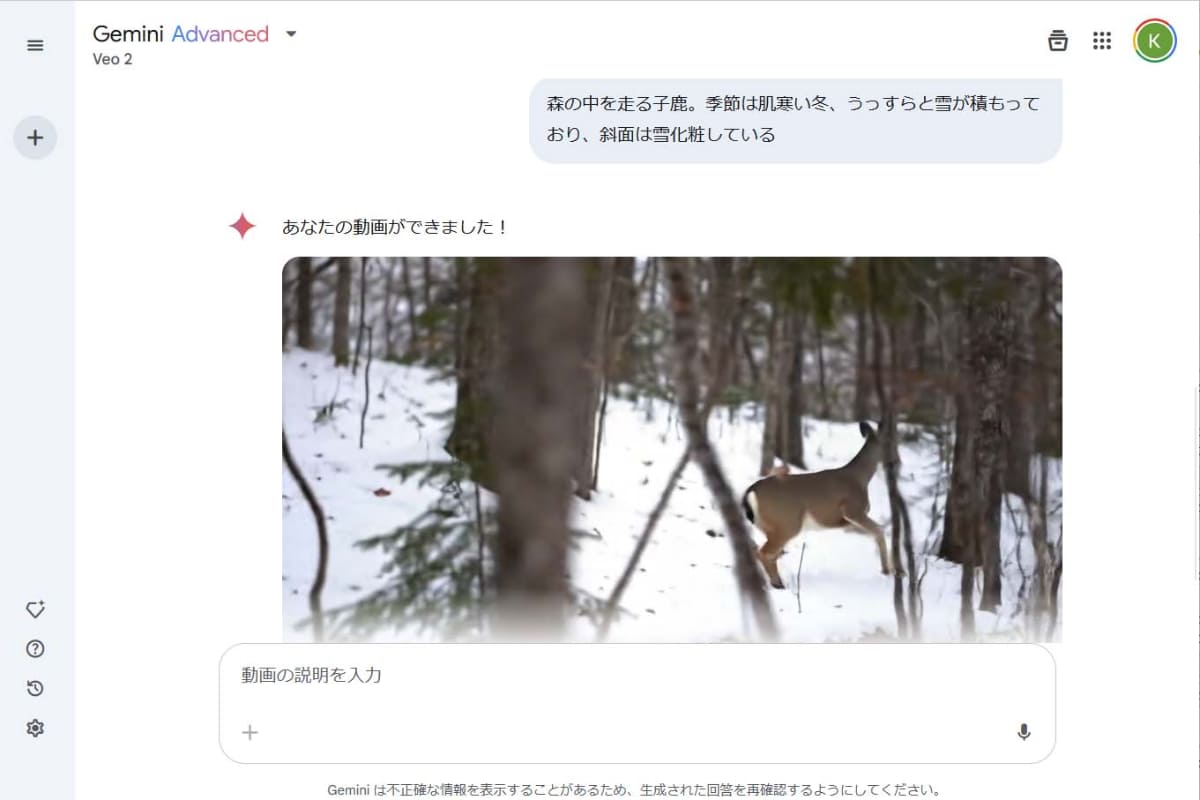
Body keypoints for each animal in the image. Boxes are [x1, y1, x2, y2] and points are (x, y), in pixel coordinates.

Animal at [741, 421, 901, 589]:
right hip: (786, 524)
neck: (859, 478)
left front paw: (890, 570)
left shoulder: (847, 523)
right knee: (764, 553)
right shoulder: (852, 510)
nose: (897, 461)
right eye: (891, 442)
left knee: (762, 552)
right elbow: (879, 530)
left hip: (769, 526)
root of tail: (750, 492)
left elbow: (873, 533)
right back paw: (777, 584)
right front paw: (888, 571)